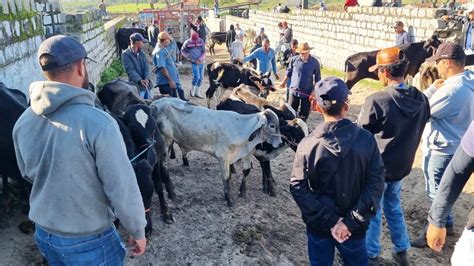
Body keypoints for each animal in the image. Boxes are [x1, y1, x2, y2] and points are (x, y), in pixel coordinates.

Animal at [97, 79, 175, 224]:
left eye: (153, 126)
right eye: (133, 129)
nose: (151, 147)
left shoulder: (157, 160)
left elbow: (158, 186)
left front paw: (166, 212)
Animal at [150, 97, 282, 206]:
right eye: (272, 126)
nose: (280, 142)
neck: (239, 128)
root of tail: (155, 104)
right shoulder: (223, 157)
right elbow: (226, 178)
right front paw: (229, 200)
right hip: (165, 140)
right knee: (164, 166)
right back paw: (171, 193)